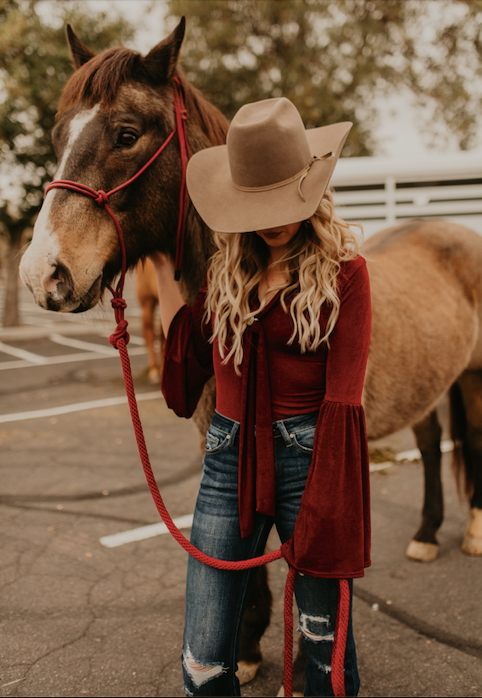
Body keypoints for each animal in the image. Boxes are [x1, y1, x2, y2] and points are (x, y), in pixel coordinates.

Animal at [18, 17, 482, 692]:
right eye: (56, 136)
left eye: (127, 134)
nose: (41, 275)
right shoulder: (221, 433)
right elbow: (247, 534)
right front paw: (245, 643)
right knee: (428, 446)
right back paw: (424, 533)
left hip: (473, 378)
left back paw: (471, 530)